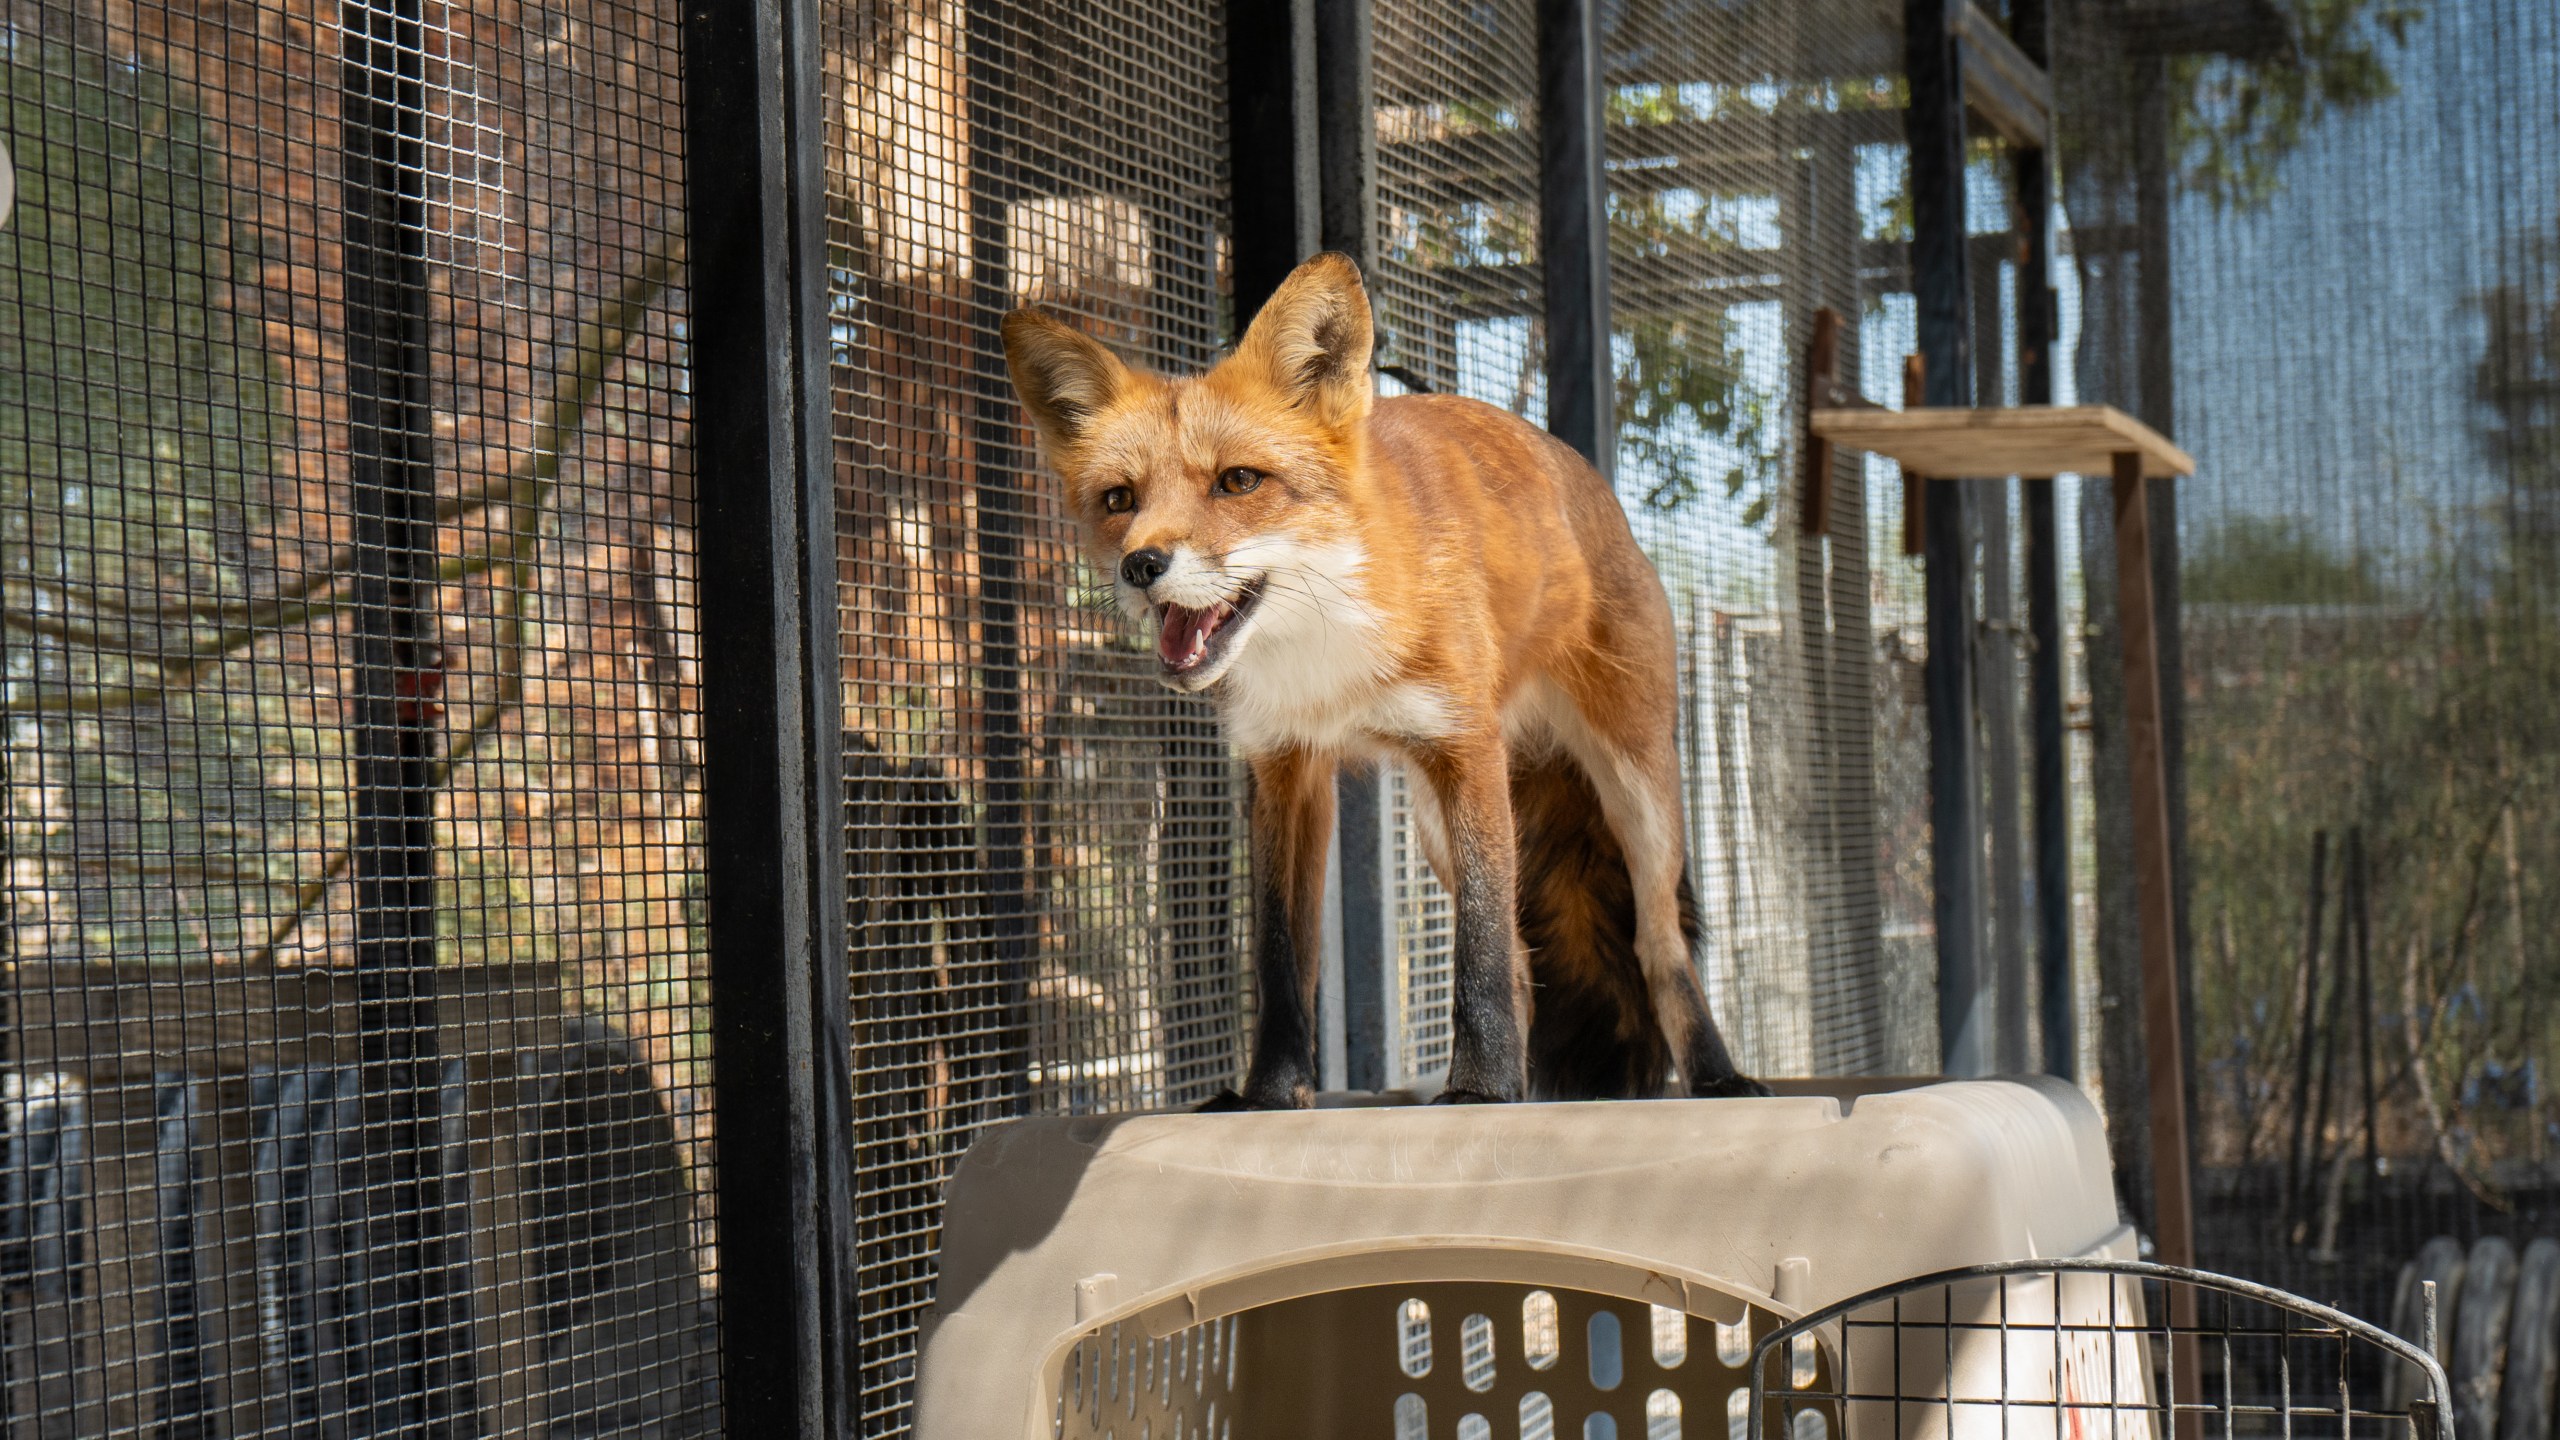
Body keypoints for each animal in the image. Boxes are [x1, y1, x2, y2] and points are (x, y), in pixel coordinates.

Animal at [1002, 252, 1766, 1107]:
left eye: (1237, 482)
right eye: (1119, 500)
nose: (1141, 566)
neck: (1325, 656)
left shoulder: (1465, 749)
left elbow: (1479, 951)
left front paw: (1479, 1090)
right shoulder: (1285, 767)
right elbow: (1281, 956)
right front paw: (1271, 1091)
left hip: (1634, 790)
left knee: (1654, 944)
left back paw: (1717, 1077)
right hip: (1436, 819)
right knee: (1528, 964)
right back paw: (1532, 1089)